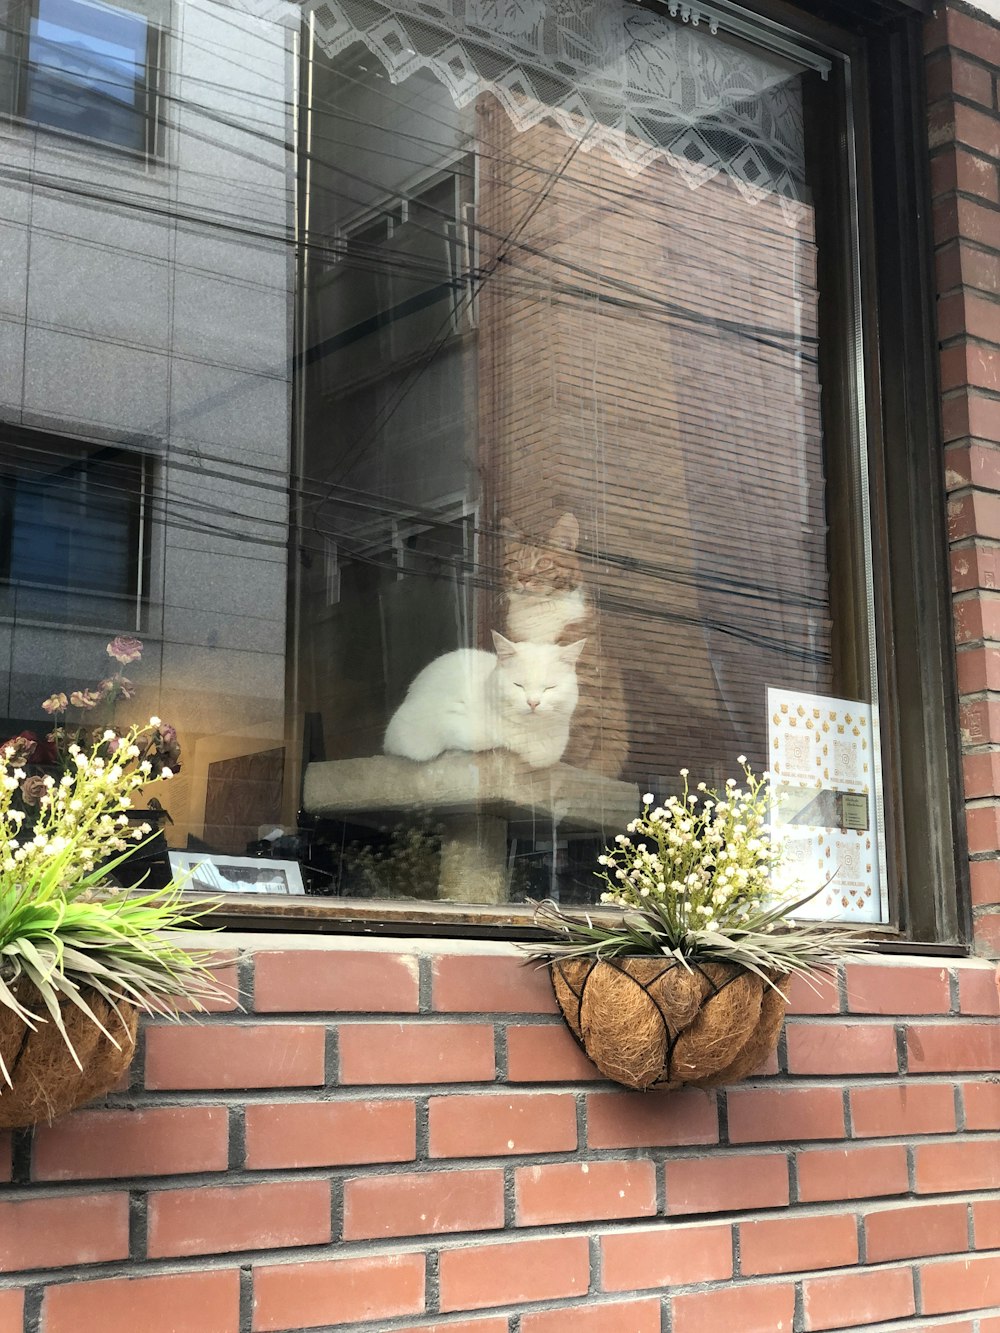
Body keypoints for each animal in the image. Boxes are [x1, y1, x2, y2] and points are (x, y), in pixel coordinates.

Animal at [504, 511, 629, 778]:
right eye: (515, 564)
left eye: (543, 563)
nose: (523, 578)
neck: (539, 613)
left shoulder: (584, 684)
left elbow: (575, 739)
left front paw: (565, 768)